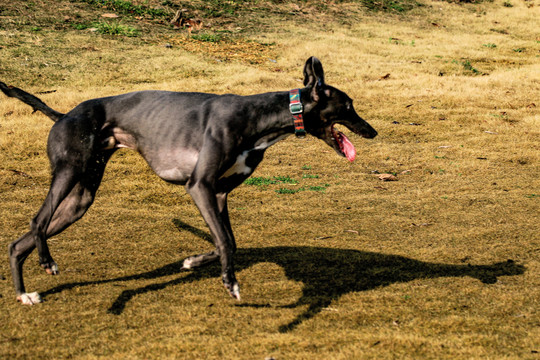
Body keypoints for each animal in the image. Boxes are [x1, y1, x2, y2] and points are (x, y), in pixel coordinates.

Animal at [1, 56, 376, 304]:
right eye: (349, 106)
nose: (372, 131)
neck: (260, 118)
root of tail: (64, 114)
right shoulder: (199, 186)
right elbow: (224, 240)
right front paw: (230, 282)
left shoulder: (219, 193)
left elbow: (228, 241)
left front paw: (195, 262)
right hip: (69, 171)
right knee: (37, 221)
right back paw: (46, 261)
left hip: (81, 199)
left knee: (19, 243)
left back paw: (24, 294)